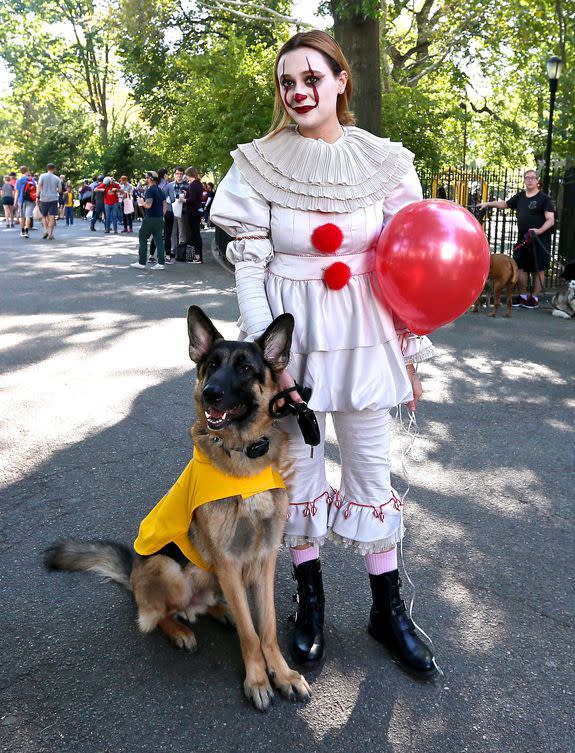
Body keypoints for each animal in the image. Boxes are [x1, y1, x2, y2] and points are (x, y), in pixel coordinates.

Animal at [46, 304, 310, 712]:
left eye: (245, 368)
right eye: (211, 365)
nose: (210, 393)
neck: (242, 458)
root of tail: (133, 577)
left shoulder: (263, 560)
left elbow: (265, 628)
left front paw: (281, 674)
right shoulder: (229, 562)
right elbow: (251, 634)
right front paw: (256, 679)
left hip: (211, 576)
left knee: (209, 606)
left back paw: (220, 612)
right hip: (168, 569)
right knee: (156, 615)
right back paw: (180, 629)